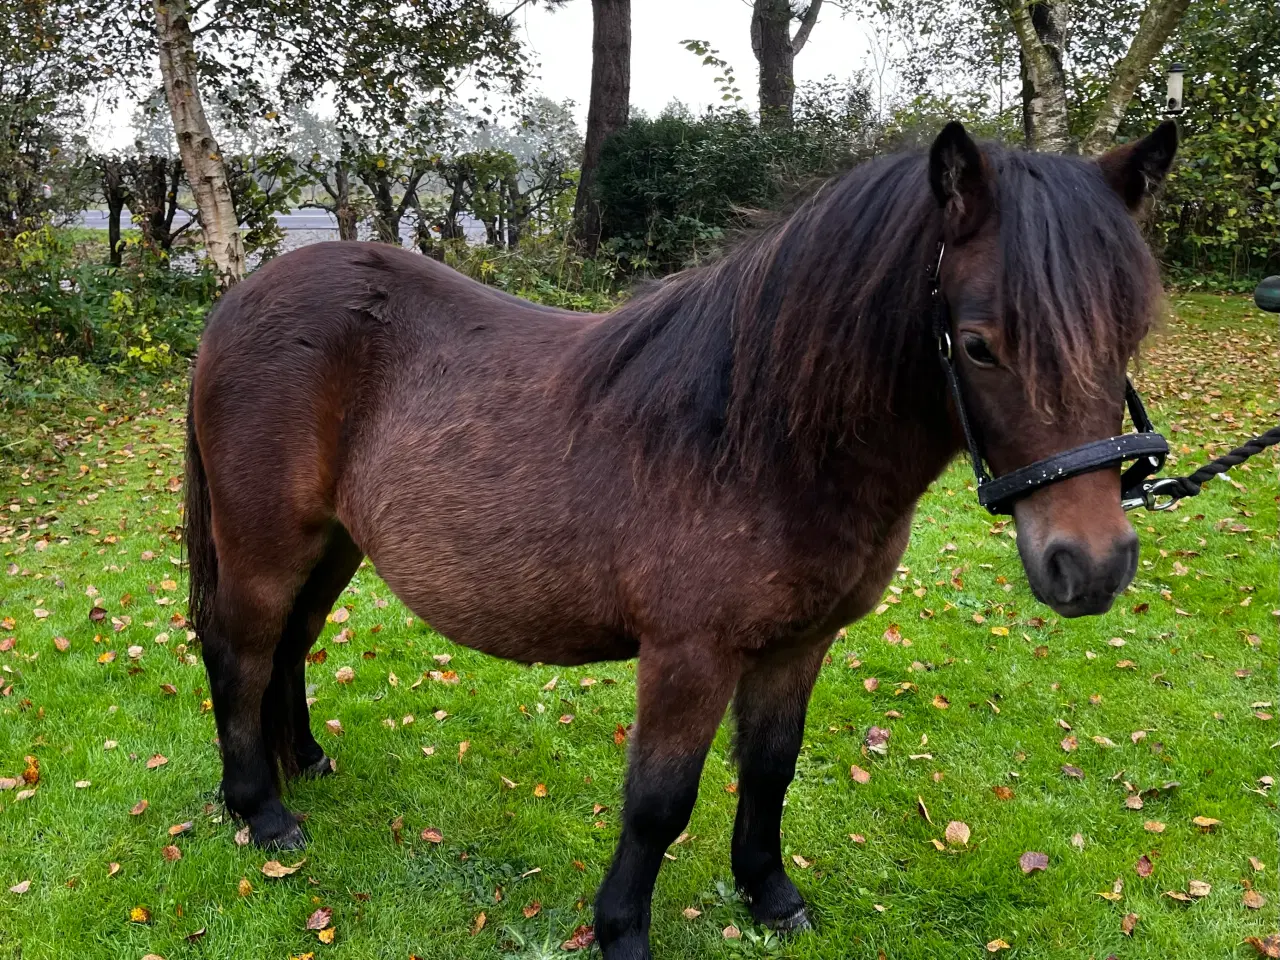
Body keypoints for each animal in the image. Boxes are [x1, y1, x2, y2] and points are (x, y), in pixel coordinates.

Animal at [185, 126, 1172, 960]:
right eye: (977, 345)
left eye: (1131, 332)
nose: (1092, 565)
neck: (761, 436)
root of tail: (239, 301)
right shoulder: (689, 655)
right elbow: (659, 804)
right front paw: (623, 932)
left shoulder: (799, 644)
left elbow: (770, 770)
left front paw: (770, 896)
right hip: (268, 543)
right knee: (240, 649)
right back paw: (261, 813)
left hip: (334, 544)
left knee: (290, 645)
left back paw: (304, 762)